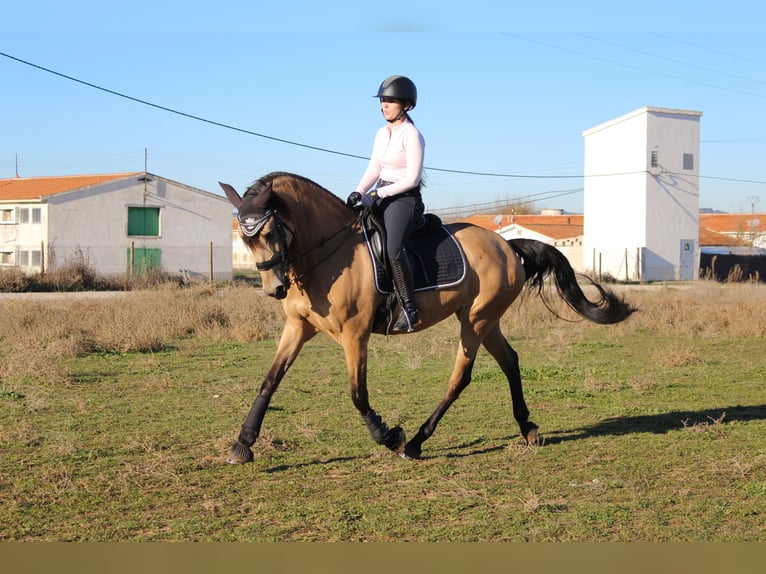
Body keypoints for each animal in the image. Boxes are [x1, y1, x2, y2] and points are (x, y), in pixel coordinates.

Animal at [220, 172, 636, 468]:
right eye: (246, 238)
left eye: (270, 230)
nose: (275, 288)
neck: (328, 256)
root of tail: (506, 244)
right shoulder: (298, 327)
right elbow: (270, 381)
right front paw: (243, 444)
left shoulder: (355, 335)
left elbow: (358, 395)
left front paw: (391, 437)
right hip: (485, 320)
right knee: (510, 361)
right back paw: (527, 429)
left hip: (475, 321)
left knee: (461, 377)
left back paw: (418, 441)